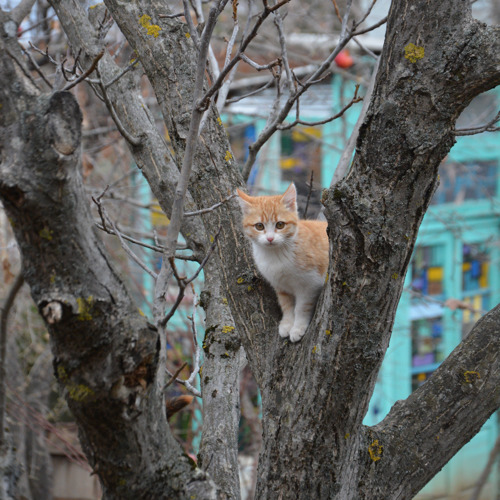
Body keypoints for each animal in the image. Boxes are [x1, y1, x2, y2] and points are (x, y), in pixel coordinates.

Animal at [237, 184, 330, 344]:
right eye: (259, 226)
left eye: (280, 225)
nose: (270, 238)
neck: (276, 256)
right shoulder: (280, 285)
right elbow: (286, 305)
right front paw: (287, 324)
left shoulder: (310, 284)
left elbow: (301, 307)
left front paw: (298, 328)